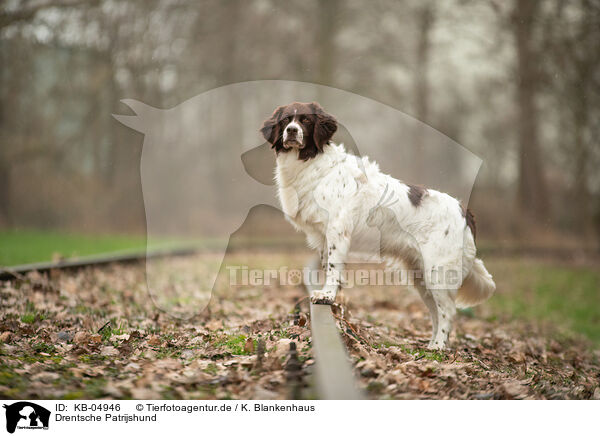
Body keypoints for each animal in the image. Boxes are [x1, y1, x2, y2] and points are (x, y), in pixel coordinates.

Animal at [260, 100, 494, 350]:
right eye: (286, 120)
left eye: (305, 120)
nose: (292, 131)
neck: (311, 164)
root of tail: (465, 211)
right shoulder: (323, 237)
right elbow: (327, 266)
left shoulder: (337, 231)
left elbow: (333, 268)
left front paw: (327, 296)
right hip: (421, 276)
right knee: (435, 311)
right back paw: (431, 345)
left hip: (438, 271)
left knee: (448, 311)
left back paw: (439, 347)